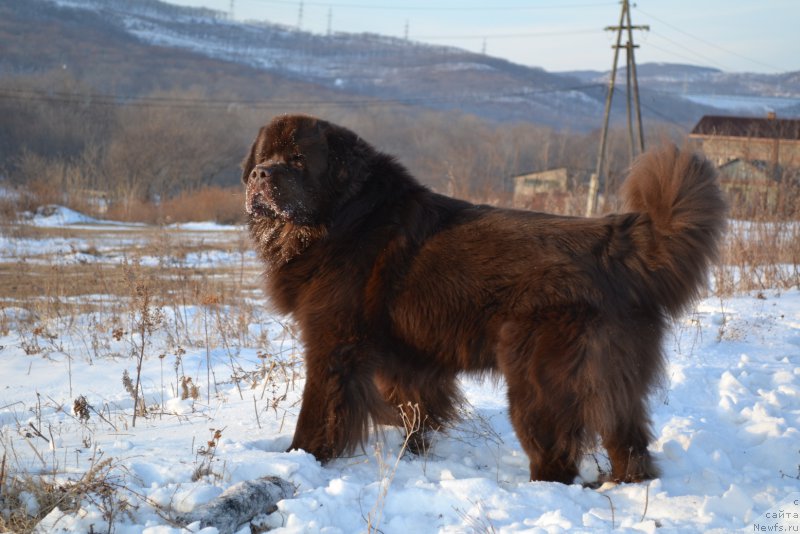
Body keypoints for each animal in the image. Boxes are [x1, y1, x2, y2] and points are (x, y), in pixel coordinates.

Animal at [241, 114, 728, 486]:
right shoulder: (408, 356)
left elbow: (319, 408)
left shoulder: (332, 342)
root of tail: (614, 242)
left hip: (538, 376)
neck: (342, 217)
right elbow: (413, 408)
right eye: (263, 158)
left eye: (298, 160)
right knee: (628, 439)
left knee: (557, 449)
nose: (261, 174)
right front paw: (412, 452)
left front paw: (301, 457)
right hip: (615, 377)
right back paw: (623, 483)